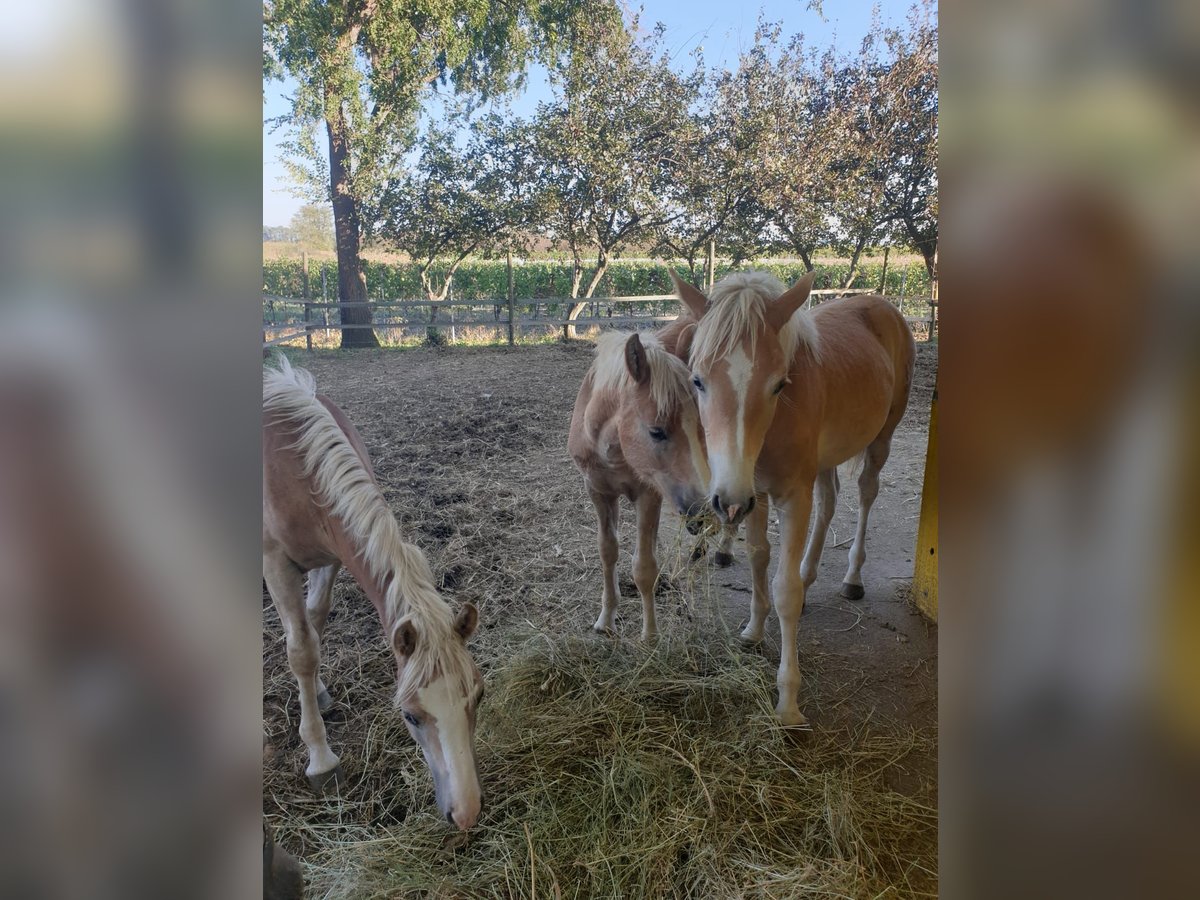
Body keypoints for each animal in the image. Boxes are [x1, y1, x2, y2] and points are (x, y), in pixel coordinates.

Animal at [265, 360, 484, 830]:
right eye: (409, 715)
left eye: (478, 695)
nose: (466, 812)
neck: (296, 468)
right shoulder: (276, 565)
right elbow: (300, 649)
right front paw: (321, 757)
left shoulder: (332, 556)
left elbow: (315, 622)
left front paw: (319, 693)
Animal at [568, 333, 710, 643]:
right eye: (656, 431)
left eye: (699, 426)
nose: (699, 511)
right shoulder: (599, 492)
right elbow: (608, 551)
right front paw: (606, 620)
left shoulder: (649, 496)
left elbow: (644, 567)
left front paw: (650, 636)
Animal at [672, 270, 912, 724]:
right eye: (697, 380)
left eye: (779, 384)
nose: (724, 501)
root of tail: (883, 305)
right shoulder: (754, 494)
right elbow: (758, 559)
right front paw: (753, 631)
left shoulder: (790, 498)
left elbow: (784, 589)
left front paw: (788, 702)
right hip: (826, 460)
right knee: (830, 501)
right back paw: (810, 573)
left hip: (881, 440)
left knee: (865, 494)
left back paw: (852, 578)